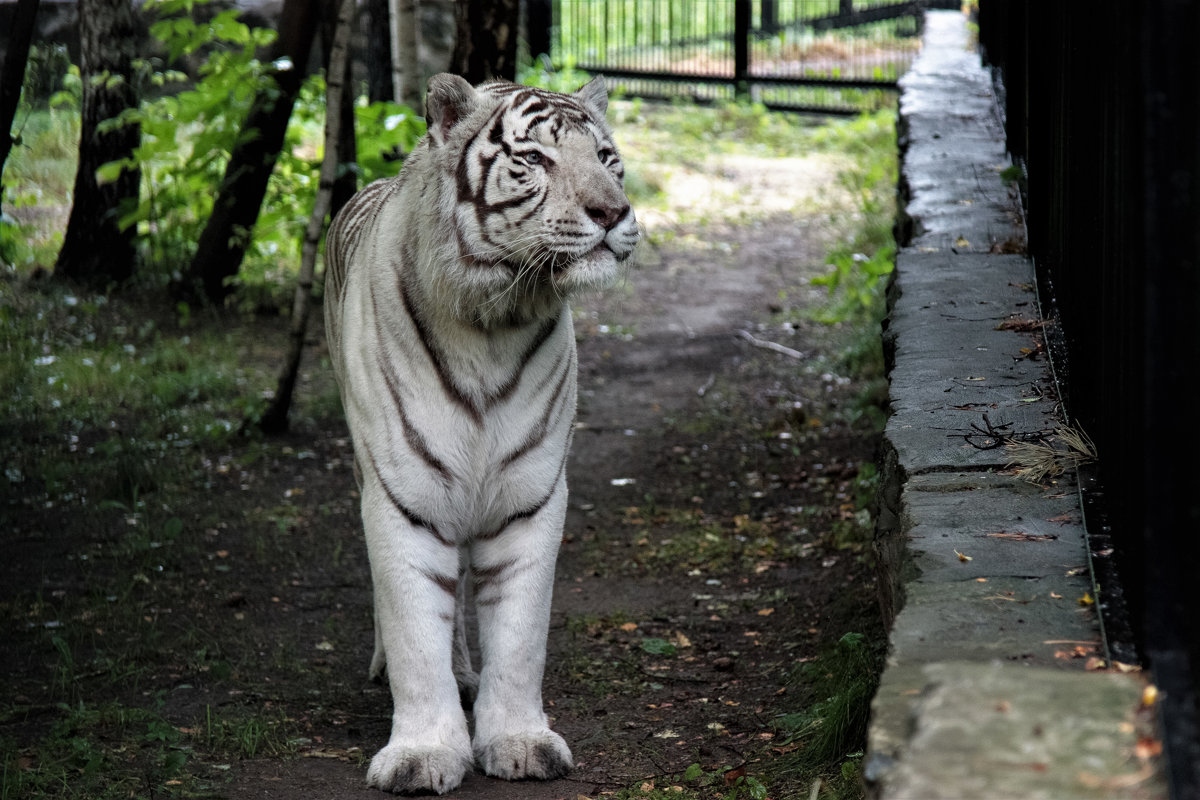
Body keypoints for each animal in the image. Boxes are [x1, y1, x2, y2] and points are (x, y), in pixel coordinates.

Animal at [319, 73, 638, 796]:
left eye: (606, 158)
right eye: (537, 159)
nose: (614, 213)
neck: (496, 321)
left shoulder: (530, 494)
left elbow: (519, 635)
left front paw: (518, 742)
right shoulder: (403, 493)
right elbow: (415, 628)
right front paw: (422, 754)